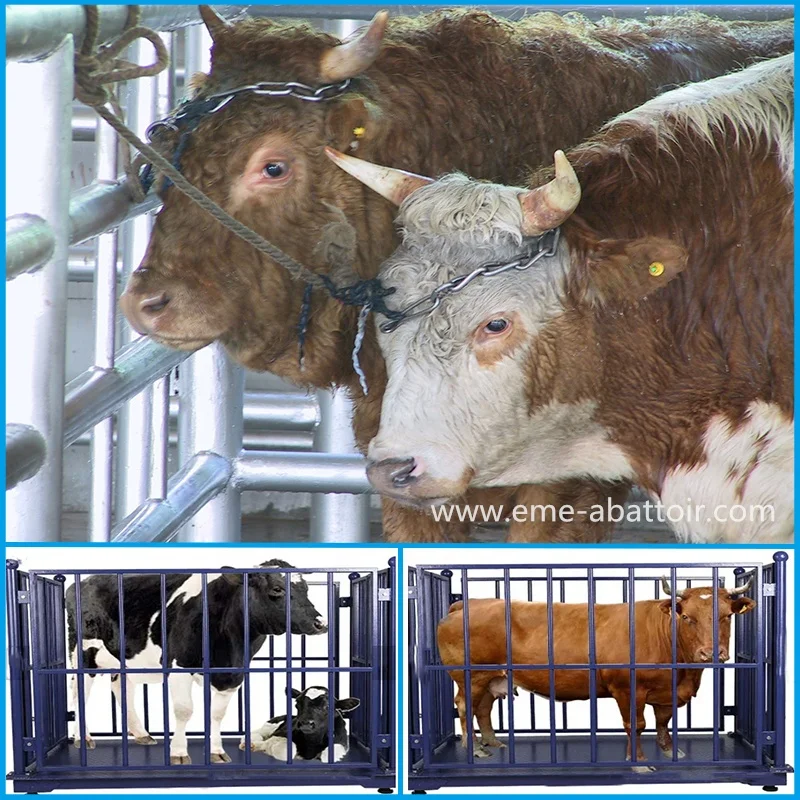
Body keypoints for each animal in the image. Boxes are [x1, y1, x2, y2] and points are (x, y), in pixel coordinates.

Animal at [66, 560, 327, 765]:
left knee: (122, 688)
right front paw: (179, 752)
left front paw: (216, 751)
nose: (320, 623)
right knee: (79, 692)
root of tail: (83, 580)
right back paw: (83, 738)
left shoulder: (232, 674)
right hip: (82, 651)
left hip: (123, 657)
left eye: (305, 589)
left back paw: (142, 734)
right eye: (277, 589)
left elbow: (217, 714)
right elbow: (184, 710)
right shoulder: (181, 666)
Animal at [437, 577, 756, 767]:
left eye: (727, 616)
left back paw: (491, 741)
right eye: (687, 617)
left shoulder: (666, 690)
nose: (711, 653)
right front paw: (639, 762)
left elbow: (663, 720)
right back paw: (474, 749)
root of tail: (466, 603)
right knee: (465, 706)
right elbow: (635, 724)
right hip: (471, 675)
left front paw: (668, 749)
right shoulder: (627, 689)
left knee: (483, 707)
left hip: (492, 676)